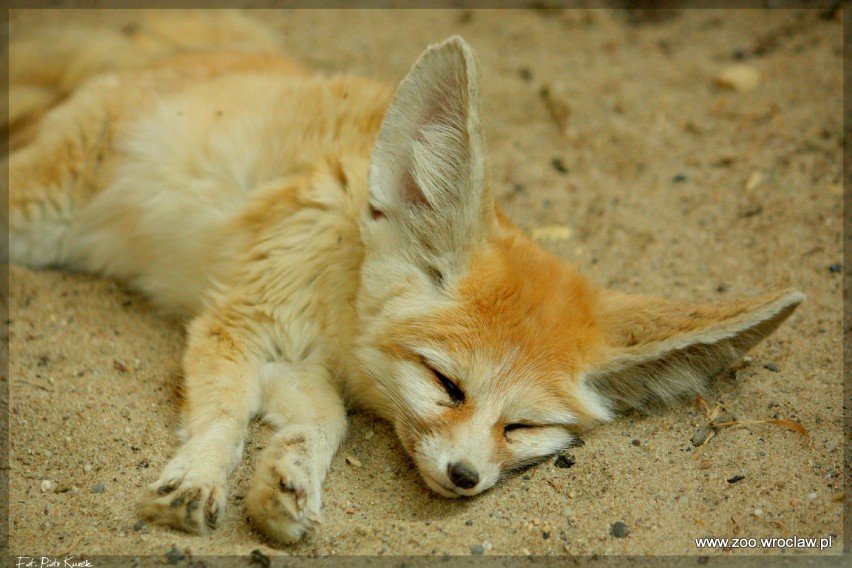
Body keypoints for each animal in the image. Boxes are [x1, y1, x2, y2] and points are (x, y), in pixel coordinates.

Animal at [8, 12, 804, 544]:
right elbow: (225, 414)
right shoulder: (238, 320)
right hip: (42, 214)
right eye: (446, 384)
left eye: (524, 427)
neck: (341, 267)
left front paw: (286, 481)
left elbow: (324, 423)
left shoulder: (300, 361)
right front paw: (200, 478)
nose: (465, 477)